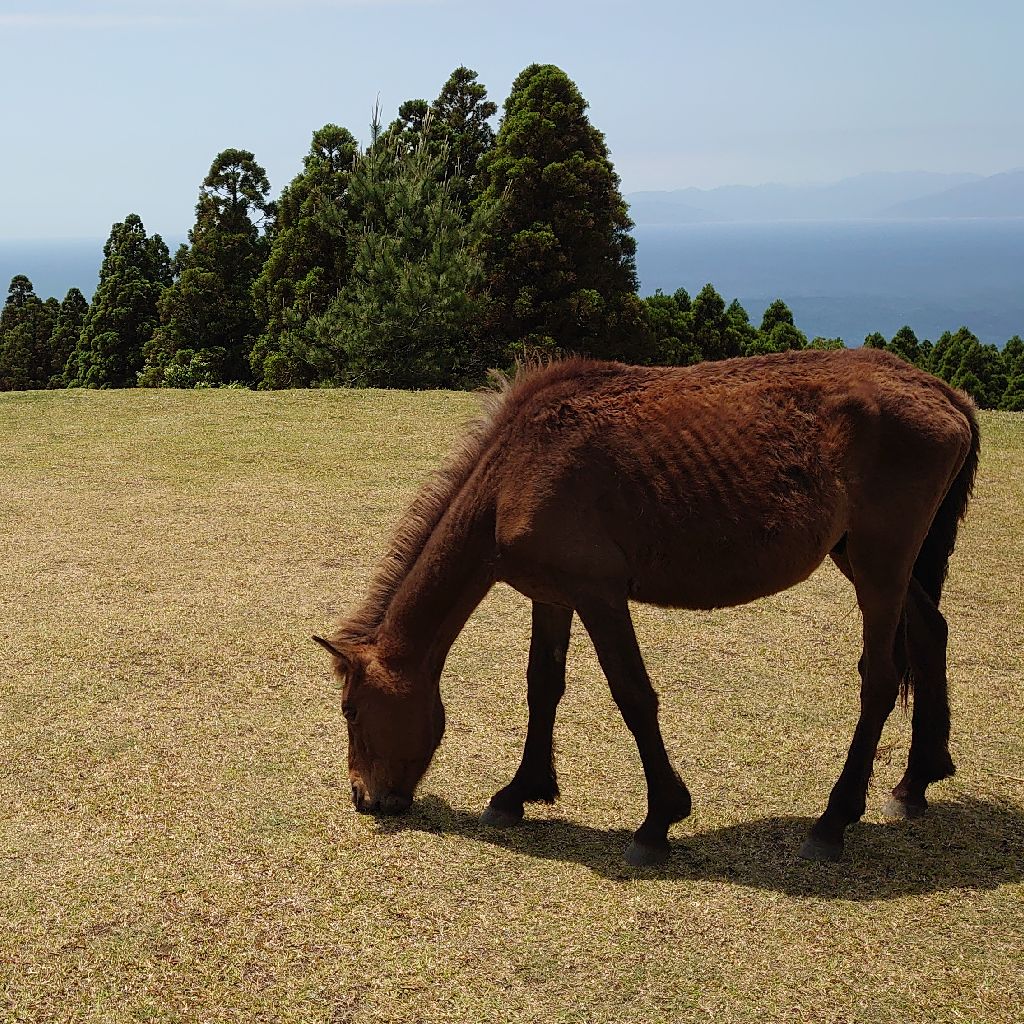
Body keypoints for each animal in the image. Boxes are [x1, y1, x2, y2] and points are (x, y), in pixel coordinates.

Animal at [314, 348, 979, 865]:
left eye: (350, 710)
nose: (364, 799)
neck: (515, 471)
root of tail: (944, 393)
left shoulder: (600, 596)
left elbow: (633, 696)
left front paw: (659, 819)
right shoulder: (551, 597)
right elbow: (543, 686)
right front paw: (519, 793)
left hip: (880, 563)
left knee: (881, 679)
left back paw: (833, 822)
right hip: (870, 560)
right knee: (929, 634)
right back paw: (915, 782)